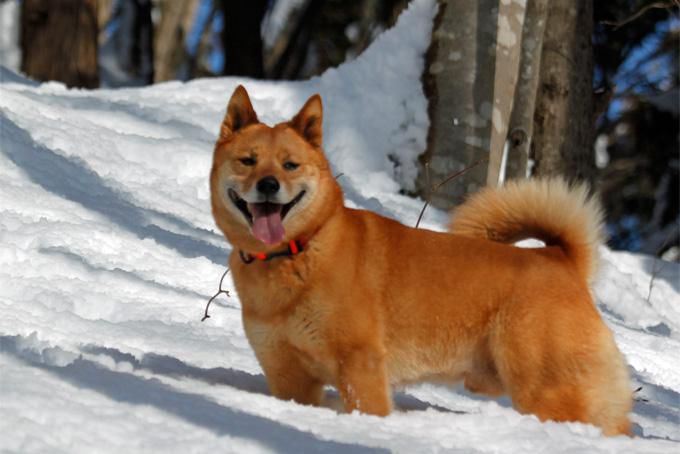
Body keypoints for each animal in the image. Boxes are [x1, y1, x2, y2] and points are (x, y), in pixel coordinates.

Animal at [211, 85, 632, 436]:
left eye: (290, 165)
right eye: (248, 161)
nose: (268, 185)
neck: (299, 250)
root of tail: (560, 258)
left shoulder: (361, 367)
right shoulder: (288, 377)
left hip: (549, 389)